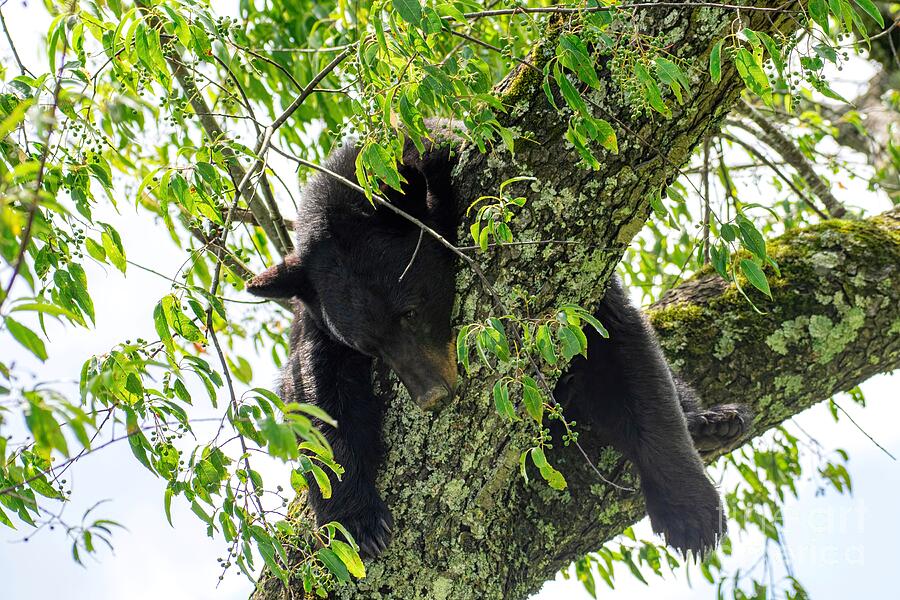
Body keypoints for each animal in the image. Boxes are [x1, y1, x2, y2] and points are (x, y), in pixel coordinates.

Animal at [246, 125, 744, 556]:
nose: (432, 395)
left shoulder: (581, 283)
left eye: (410, 312)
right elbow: (316, 393)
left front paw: (690, 513)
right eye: (369, 346)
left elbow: (621, 354)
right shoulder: (315, 316)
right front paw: (359, 522)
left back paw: (712, 420)